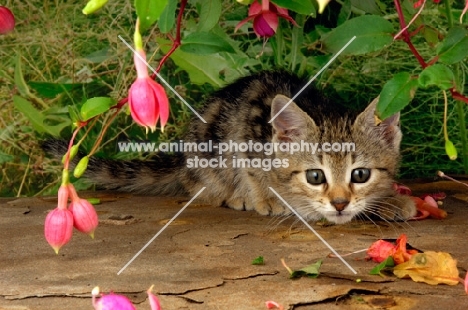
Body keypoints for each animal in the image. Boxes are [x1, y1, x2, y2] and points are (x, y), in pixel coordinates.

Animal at [63, 71, 420, 224]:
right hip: (206, 150)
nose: (340, 204)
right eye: (316, 177)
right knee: (197, 184)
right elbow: (251, 171)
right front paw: (268, 199)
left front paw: (389, 201)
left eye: (360, 175)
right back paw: (234, 196)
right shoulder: (245, 135)